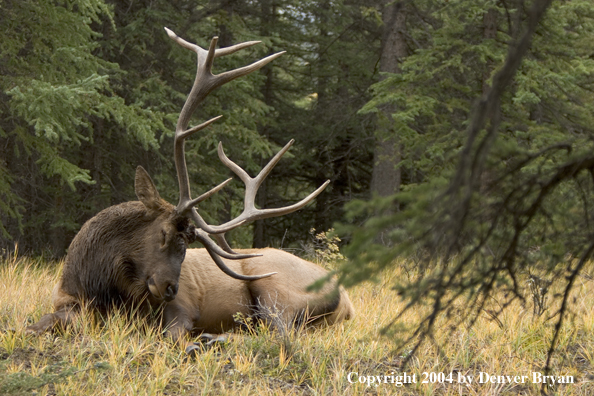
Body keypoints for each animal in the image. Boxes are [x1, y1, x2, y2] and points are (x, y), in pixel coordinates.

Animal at [24, 27, 352, 352]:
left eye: (185, 247)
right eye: (164, 235)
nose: (170, 287)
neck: (101, 285)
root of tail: (348, 303)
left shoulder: (181, 308)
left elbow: (171, 336)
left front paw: (194, 340)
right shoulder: (66, 300)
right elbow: (37, 325)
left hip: (273, 288)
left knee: (280, 333)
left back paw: (214, 338)